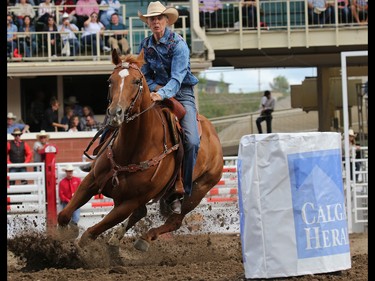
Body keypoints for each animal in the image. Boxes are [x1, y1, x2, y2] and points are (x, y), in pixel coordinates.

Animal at [57, 49, 225, 250]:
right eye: (110, 80)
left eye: (137, 81)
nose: (115, 113)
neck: (131, 150)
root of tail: (215, 138)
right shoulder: (92, 181)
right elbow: (64, 215)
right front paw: (60, 237)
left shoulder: (130, 202)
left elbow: (90, 234)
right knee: (142, 213)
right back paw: (116, 238)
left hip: (198, 192)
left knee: (173, 221)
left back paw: (144, 238)